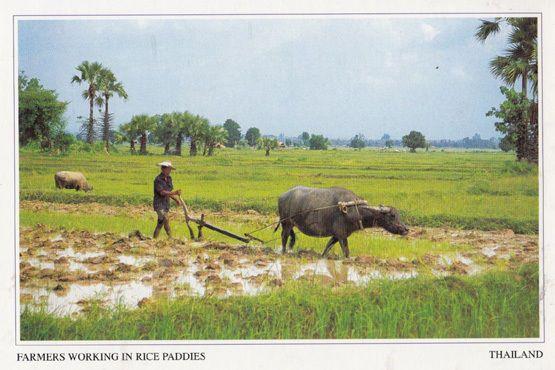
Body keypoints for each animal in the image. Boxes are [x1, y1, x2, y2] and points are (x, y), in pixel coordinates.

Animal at [274, 186, 408, 256]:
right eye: (392, 215)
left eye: (398, 215)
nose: (406, 229)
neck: (354, 210)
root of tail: (282, 196)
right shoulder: (341, 235)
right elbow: (346, 252)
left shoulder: (337, 235)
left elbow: (327, 247)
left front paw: (322, 256)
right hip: (286, 223)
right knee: (284, 237)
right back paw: (283, 252)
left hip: (290, 224)